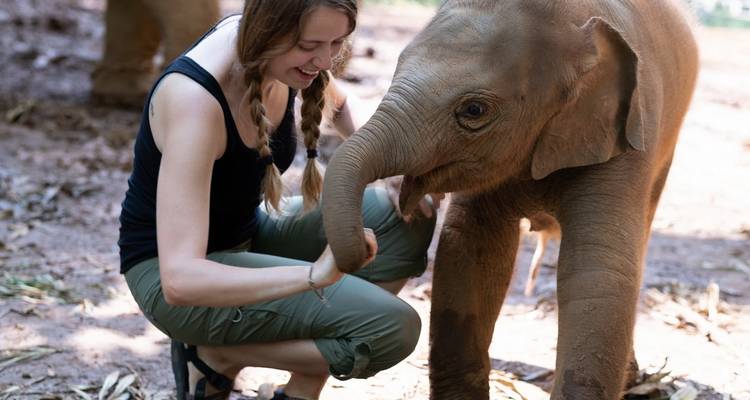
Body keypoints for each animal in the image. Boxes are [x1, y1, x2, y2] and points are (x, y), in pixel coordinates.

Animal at [320, 0, 698, 399]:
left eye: (474, 110)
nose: (368, 242)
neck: (574, 21)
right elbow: (470, 247)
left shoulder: (626, 139)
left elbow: (599, 269)